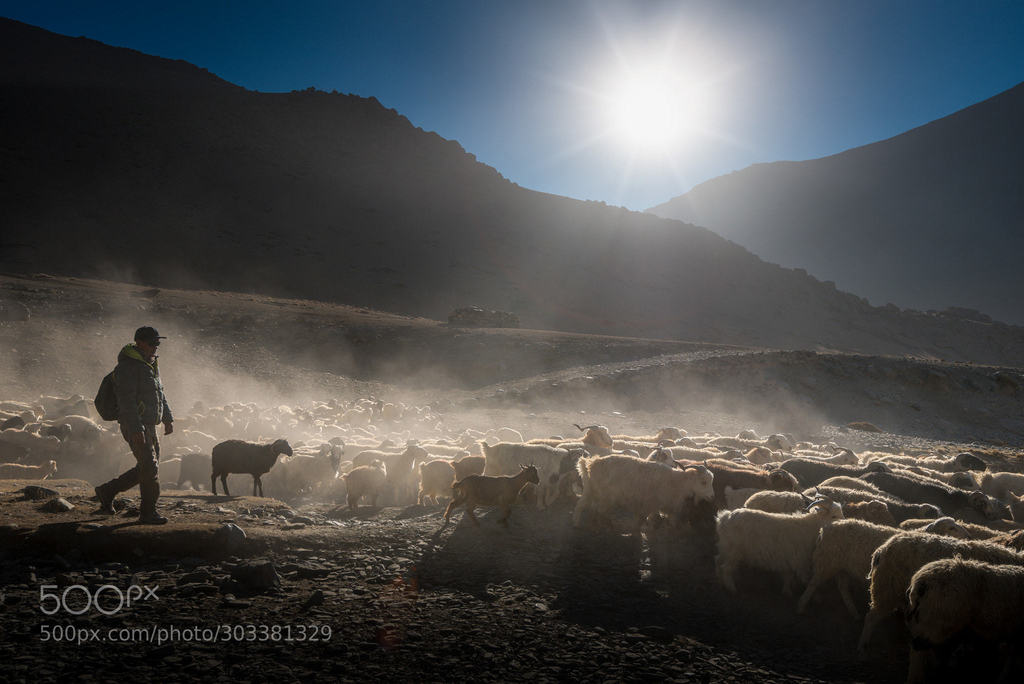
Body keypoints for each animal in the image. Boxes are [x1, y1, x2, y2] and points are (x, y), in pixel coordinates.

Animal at [573, 454, 716, 532]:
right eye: (703, 482)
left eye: (711, 481)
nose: (712, 496)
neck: (676, 482)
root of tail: (589, 464)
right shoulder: (648, 503)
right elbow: (642, 519)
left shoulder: (657, 506)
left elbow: (653, 518)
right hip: (604, 496)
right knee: (597, 510)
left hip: (591, 492)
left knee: (583, 506)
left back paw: (585, 524)